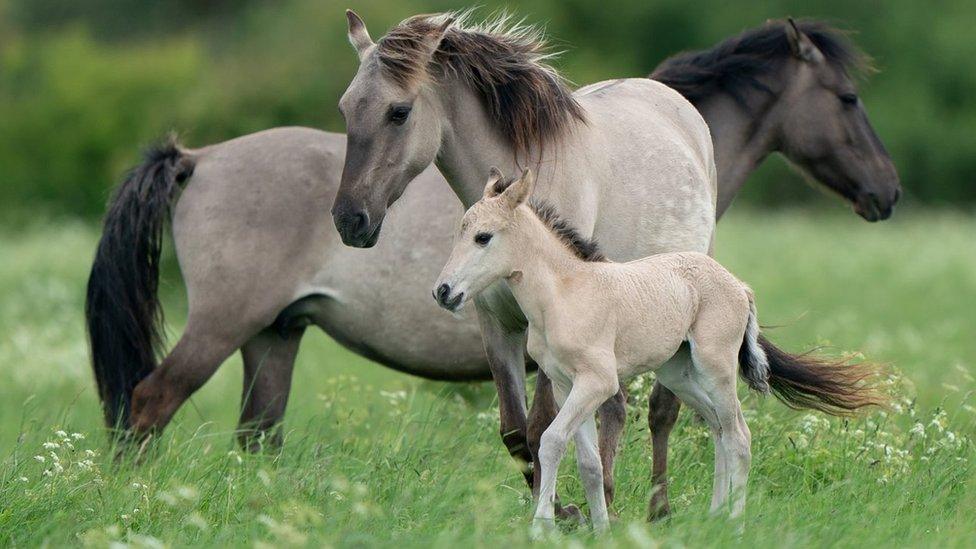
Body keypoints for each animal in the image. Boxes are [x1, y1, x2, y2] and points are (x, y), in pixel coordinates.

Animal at [434, 168, 884, 532]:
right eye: (459, 231)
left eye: (483, 237)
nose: (443, 292)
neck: (564, 293)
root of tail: (739, 286)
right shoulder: (566, 385)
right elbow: (589, 463)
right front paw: (601, 530)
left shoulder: (597, 382)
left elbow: (551, 441)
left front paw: (542, 527)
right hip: (679, 374)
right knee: (719, 429)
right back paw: (712, 517)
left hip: (715, 367)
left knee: (738, 434)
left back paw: (734, 525)